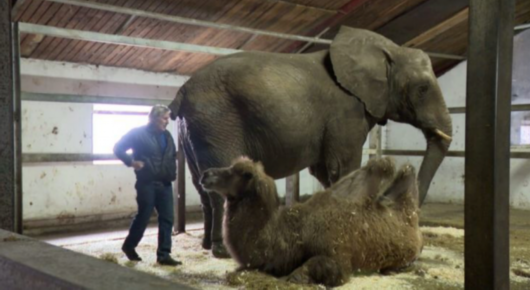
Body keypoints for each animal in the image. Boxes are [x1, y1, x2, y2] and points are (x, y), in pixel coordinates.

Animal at [168, 25, 450, 258]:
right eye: (423, 89)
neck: (388, 49)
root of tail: (182, 91)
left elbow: (324, 171)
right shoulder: (346, 112)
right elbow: (344, 167)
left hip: (195, 129)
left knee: (201, 183)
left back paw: (206, 246)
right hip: (216, 122)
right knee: (218, 183)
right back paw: (222, 251)